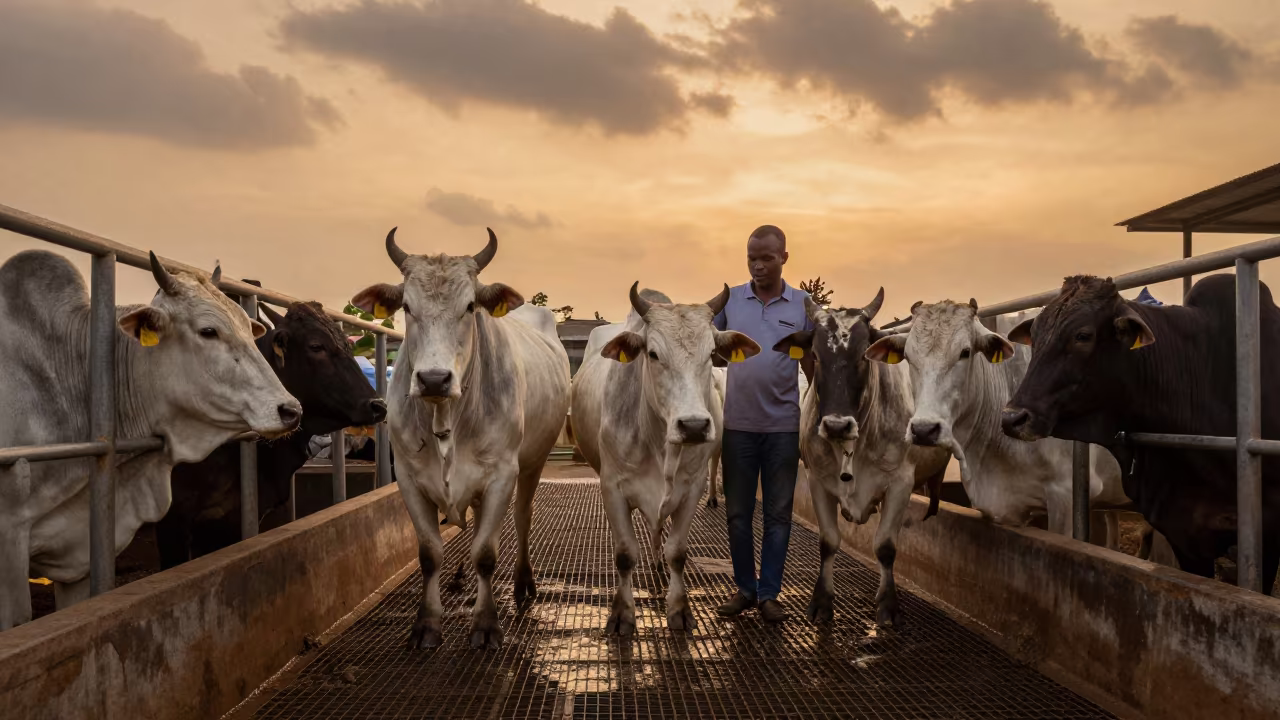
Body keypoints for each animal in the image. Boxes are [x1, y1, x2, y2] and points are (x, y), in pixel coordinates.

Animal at [350, 227, 570, 649]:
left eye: (470, 307)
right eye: (406, 306)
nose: (434, 379)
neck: (446, 415)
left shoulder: (501, 475)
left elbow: (486, 552)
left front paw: (486, 624)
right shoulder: (408, 477)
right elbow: (429, 553)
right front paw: (426, 624)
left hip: (533, 461)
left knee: (522, 517)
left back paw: (522, 584)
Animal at [570, 283, 760, 634]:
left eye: (711, 354)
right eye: (653, 354)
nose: (694, 426)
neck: (659, 442)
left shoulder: (692, 488)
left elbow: (678, 552)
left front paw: (679, 609)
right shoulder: (611, 488)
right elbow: (625, 554)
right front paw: (622, 614)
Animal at [773, 290, 949, 627]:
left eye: (863, 357)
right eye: (816, 356)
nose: (836, 425)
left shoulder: (901, 482)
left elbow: (885, 547)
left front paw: (888, 604)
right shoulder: (817, 480)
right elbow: (829, 541)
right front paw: (822, 601)